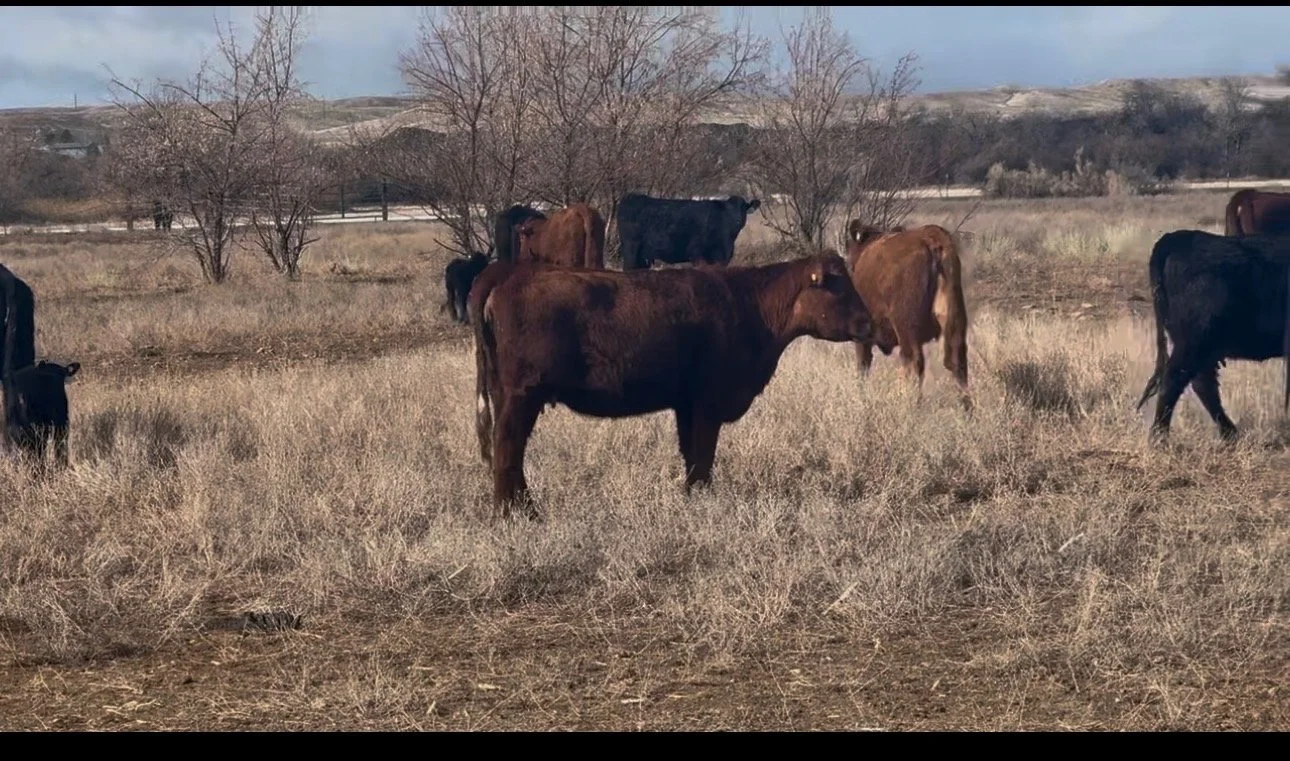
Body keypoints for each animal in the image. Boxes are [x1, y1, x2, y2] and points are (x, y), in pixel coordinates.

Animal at [468, 252, 874, 519]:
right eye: (838, 285)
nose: (869, 324)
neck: (749, 306)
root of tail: (508, 272)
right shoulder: (708, 402)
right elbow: (704, 454)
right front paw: (703, 499)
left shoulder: (686, 405)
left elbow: (691, 453)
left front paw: (691, 496)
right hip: (522, 394)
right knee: (507, 446)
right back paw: (513, 514)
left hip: (506, 394)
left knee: (512, 451)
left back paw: (523, 508)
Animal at [616, 193, 761, 271]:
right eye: (727, 210)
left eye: (743, 208)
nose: (737, 220)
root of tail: (631, 197)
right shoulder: (697, 253)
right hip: (631, 251)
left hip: (642, 257)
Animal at [845, 221, 970, 406]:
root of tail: (931, 238)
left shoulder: (862, 338)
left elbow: (862, 367)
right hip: (955, 320)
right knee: (956, 360)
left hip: (906, 327)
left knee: (913, 361)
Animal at [1135, 229, 1290, 442]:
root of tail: (1178, 237)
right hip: (1194, 342)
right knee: (1174, 380)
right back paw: (1160, 437)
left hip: (1201, 346)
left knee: (1202, 383)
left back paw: (1229, 434)